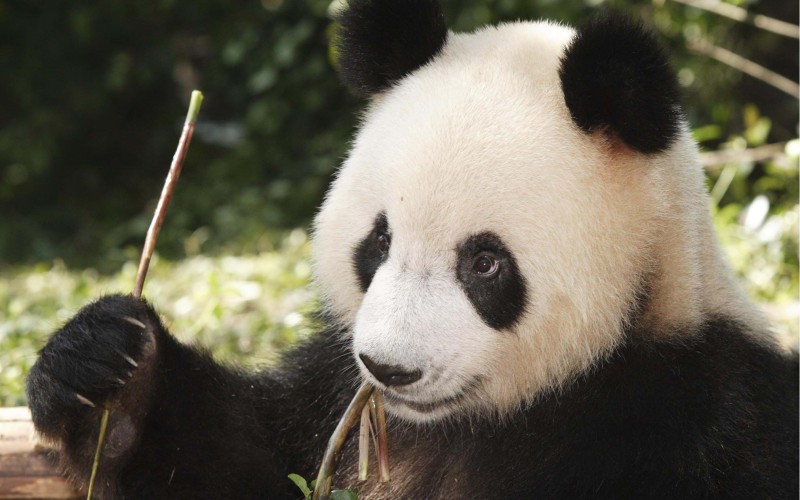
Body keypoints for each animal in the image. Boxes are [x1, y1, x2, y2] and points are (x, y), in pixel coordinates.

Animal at [26, 1, 798, 498]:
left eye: (484, 262)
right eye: (380, 240)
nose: (389, 369)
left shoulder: (692, 420)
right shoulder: (333, 398)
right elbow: (237, 461)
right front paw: (108, 378)